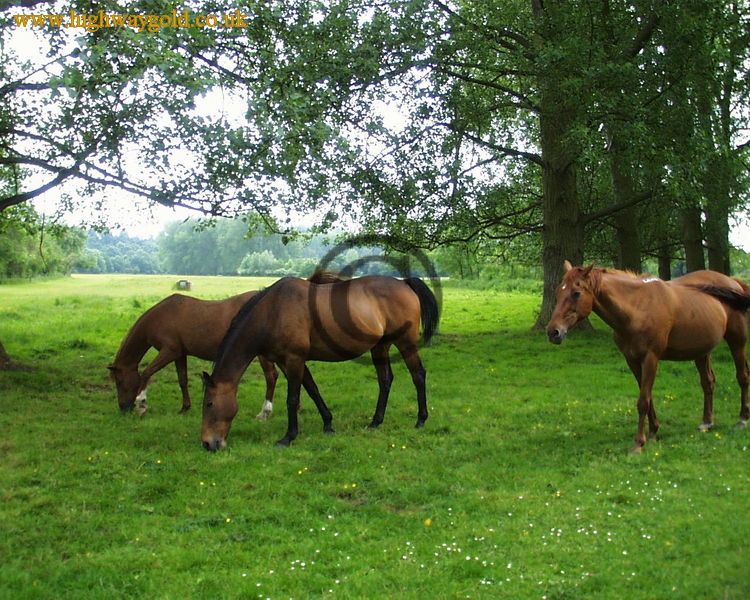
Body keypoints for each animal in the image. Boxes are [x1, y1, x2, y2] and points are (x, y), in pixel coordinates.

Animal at [109, 291, 279, 419]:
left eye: (119, 381)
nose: (123, 408)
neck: (161, 317)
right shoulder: (180, 354)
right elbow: (182, 380)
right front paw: (185, 408)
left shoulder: (169, 351)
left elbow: (146, 373)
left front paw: (141, 403)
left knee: (271, 376)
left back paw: (265, 412)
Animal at [201, 274, 439, 450]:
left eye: (209, 403)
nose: (207, 443)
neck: (273, 311)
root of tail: (403, 283)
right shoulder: (289, 362)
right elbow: (313, 390)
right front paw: (328, 424)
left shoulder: (294, 359)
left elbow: (293, 399)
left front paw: (288, 437)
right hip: (380, 347)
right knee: (385, 380)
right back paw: (375, 422)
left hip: (406, 344)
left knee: (418, 375)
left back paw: (420, 420)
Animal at [546, 261, 750, 453]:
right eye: (558, 291)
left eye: (576, 293)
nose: (553, 332)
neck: (637, 309)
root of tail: (733, 282)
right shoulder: (632, 361)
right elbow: (648, 397)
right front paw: (653, 433)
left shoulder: (650, 358)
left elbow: (643, 400)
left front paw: (639, 443)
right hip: (701, 350)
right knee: (708, 382)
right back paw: (707, 423)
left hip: (737, 341)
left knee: (742, 376)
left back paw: (742, 419)